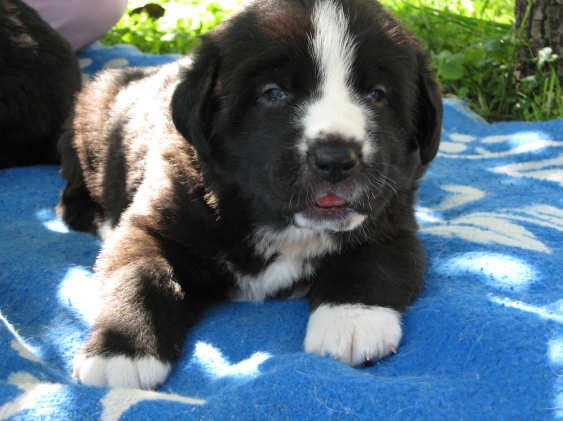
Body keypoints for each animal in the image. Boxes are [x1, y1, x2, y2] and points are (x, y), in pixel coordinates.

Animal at [58, 0, 446, 388]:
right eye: (274, 93)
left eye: (376, 95)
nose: (336, 159)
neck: (282, 225)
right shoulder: (152, 225)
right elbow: (141, 276)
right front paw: (121, 351)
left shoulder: (393, 218)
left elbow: (371, 261)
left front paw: (351, 321)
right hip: (89, 125)